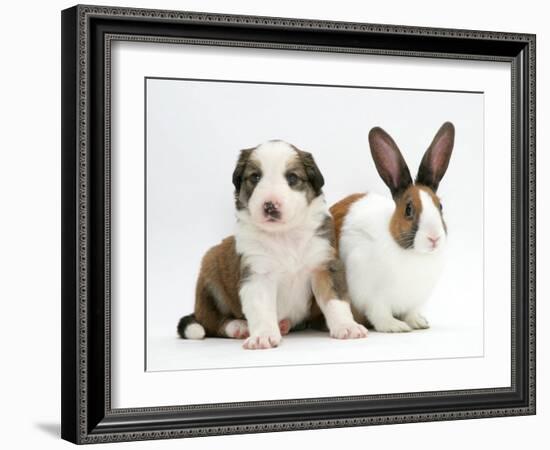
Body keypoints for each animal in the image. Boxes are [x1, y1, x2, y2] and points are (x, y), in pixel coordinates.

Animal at [178, 139, 366, 350]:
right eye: (255, 177)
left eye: (292, 177)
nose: (270, 206)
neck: (284, 235)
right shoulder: (258, 274)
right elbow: (261, 309)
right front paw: (263, 336)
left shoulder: (324, 264)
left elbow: (335, 300)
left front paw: (347, 326)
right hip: (210, 274)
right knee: (212, 322)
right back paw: (239, 326)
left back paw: (283, 324)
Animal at [332, 121, 458, 332]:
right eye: (408, 209)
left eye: (440, 206)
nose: (434, 238)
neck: (414, 254)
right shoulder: (372, 296)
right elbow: (379, 314)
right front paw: (395, 326)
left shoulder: (414, 301)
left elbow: (411, 312)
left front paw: (418, 322)